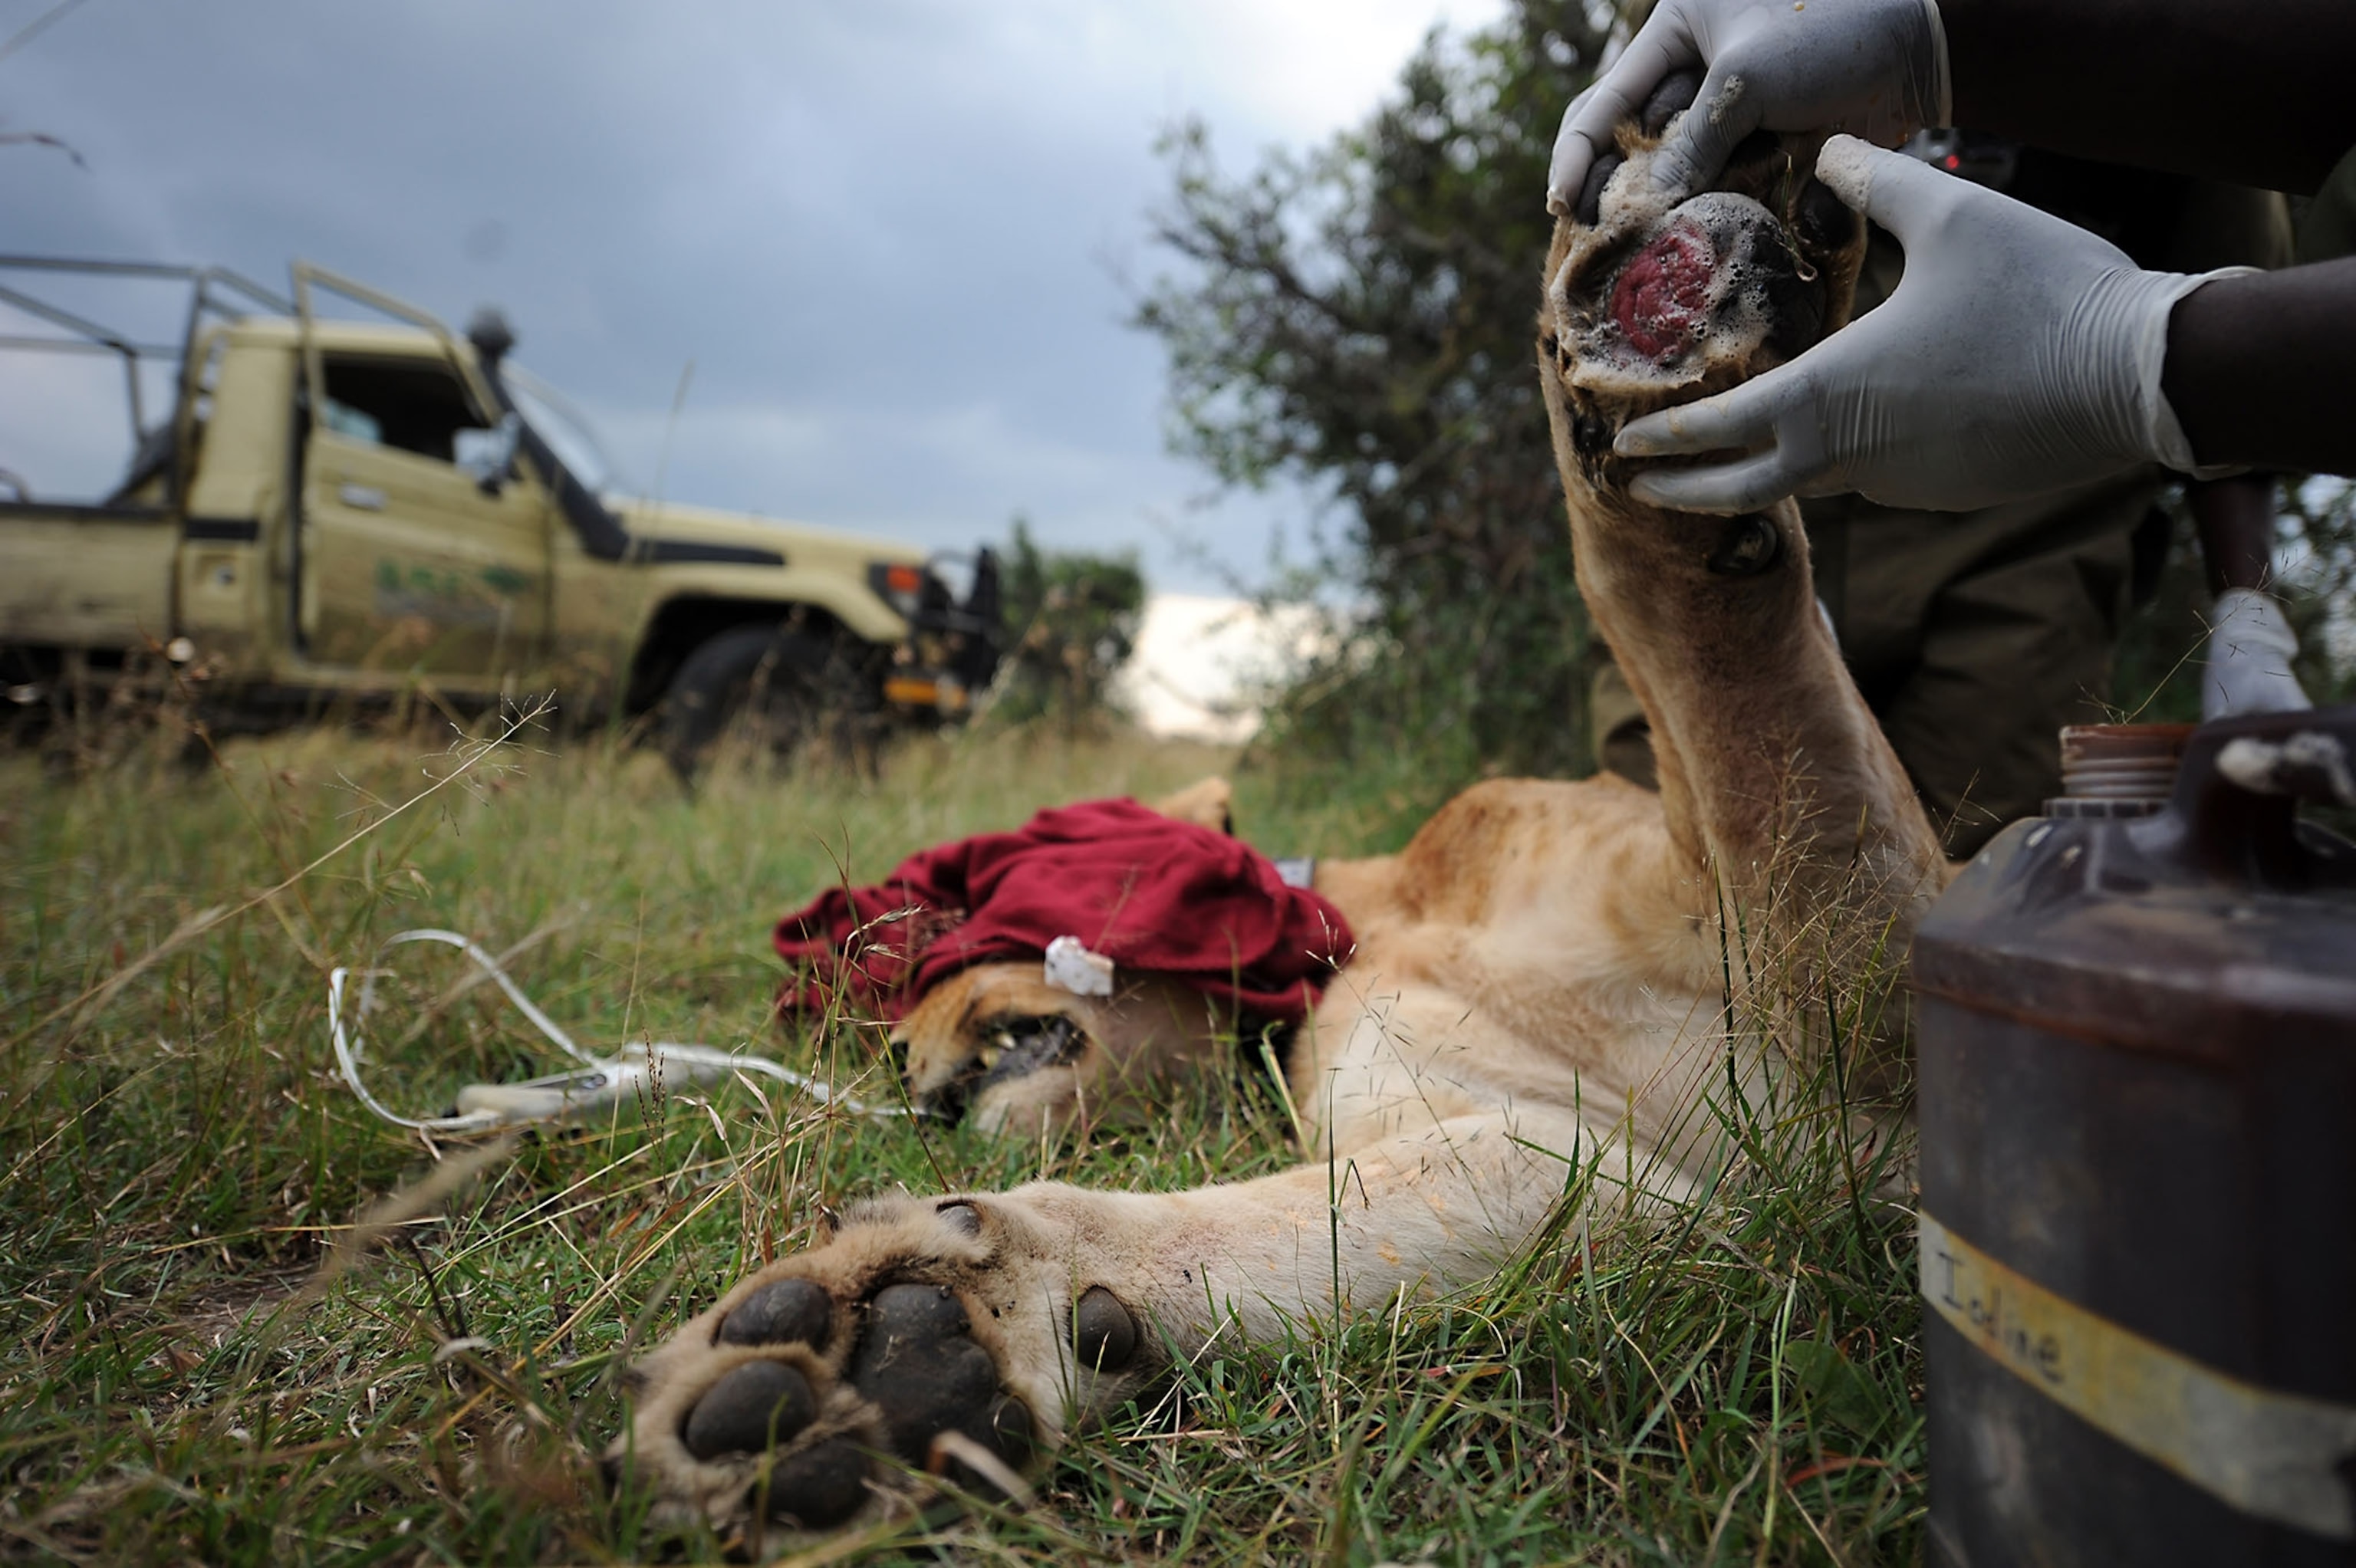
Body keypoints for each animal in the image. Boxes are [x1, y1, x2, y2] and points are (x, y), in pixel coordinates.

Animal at [605, 87, 1950, 1542]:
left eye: (945, 946)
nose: (920, 1089)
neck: (1369, 916)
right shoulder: (1588, 1164)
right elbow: (1256, 1231)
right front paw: (918, 1350)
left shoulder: (1883, 984)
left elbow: (1727, 680)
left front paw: (1656, 314)